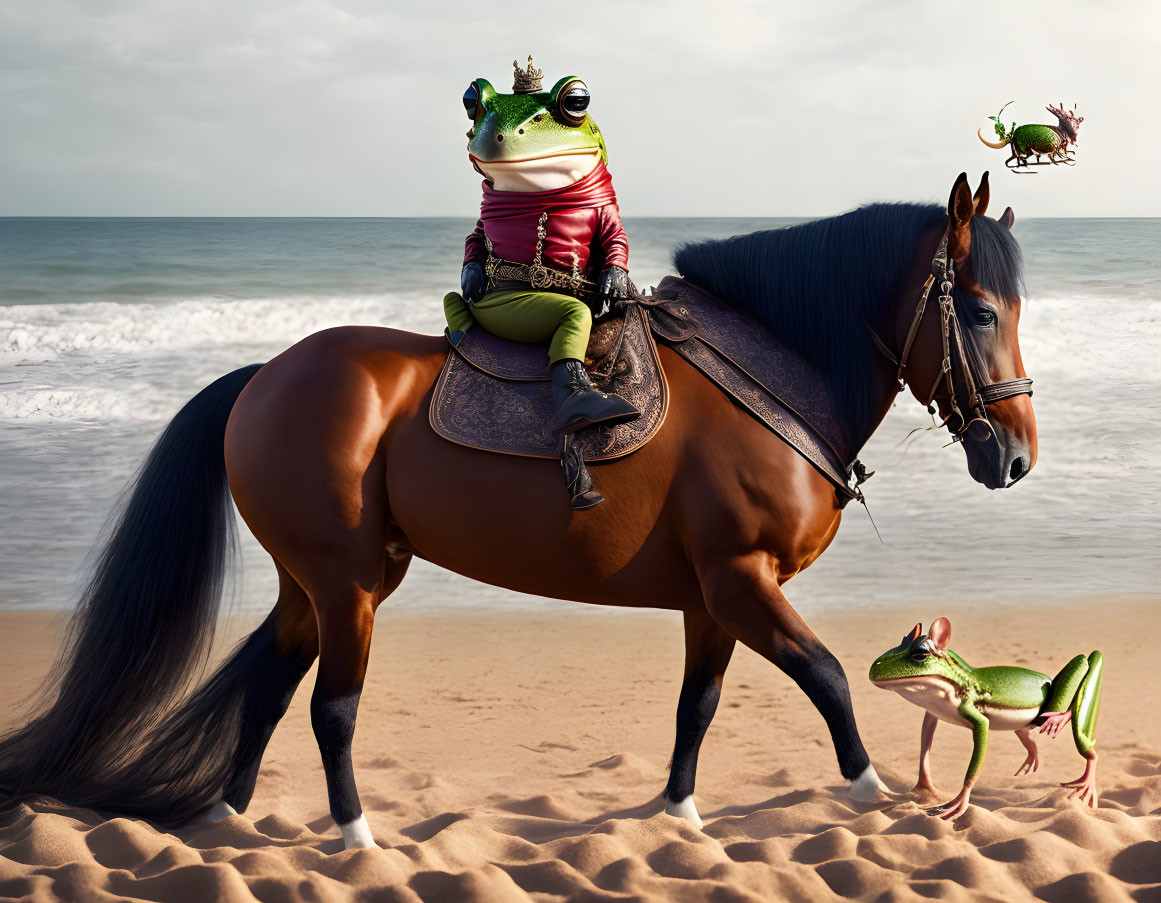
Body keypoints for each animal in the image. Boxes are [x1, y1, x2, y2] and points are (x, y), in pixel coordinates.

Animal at [0, 170, 1035, 844]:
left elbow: (697, 706)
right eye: (981, 311)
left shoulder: (713, 597)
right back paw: (354, 836)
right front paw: (868, 789)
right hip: (348, 586)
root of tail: (265, 375)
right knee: (332, 706)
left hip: (319, 581)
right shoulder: (742, 580)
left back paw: (225, 817)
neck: (770, 371)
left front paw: (678, 811)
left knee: (271, 684)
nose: (1016, 456)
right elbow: (826, 675)